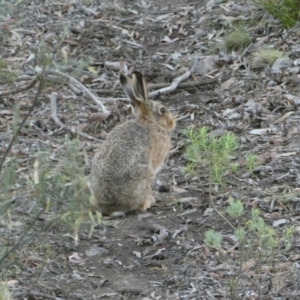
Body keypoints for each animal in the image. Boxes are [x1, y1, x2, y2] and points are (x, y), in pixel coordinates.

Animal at [90, 71, 177, 214]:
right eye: (163, 110)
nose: (173, 122)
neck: (150, 122)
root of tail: (110, 206)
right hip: (144, 175)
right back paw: (149, 201)